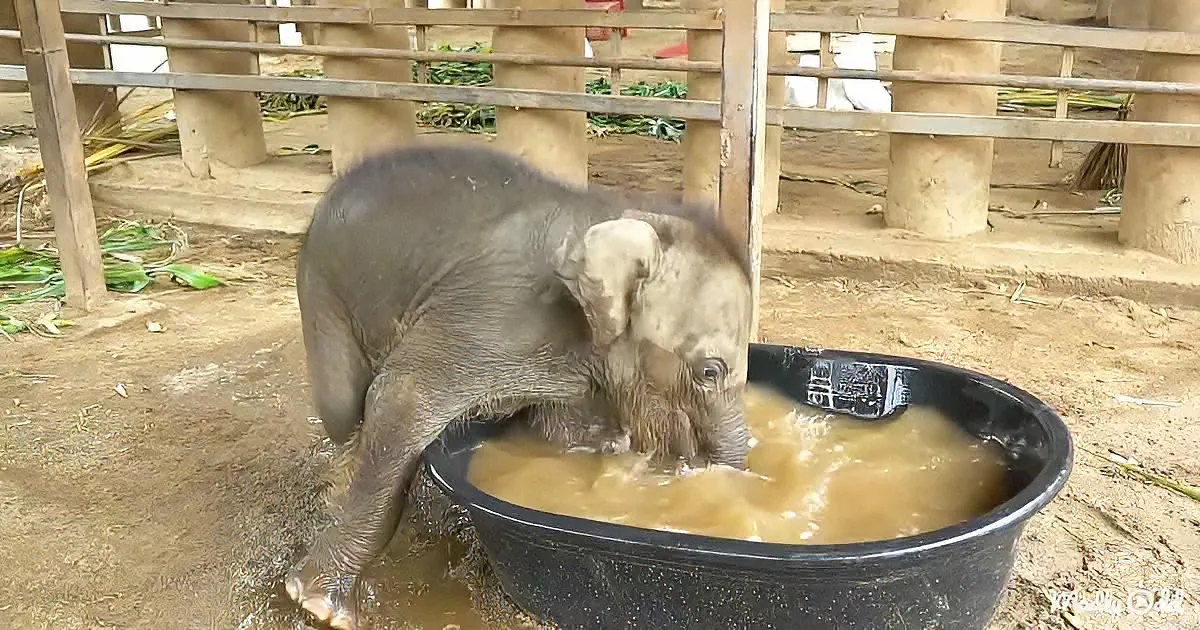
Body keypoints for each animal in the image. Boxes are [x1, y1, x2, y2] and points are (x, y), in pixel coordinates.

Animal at [285, 143, 754, 629]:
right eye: (710, 372)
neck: (619, 214)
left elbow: (565, 432)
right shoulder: (494, 313)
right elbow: (402, 396)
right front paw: (319, 607)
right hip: (322, 288)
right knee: (342, 410)